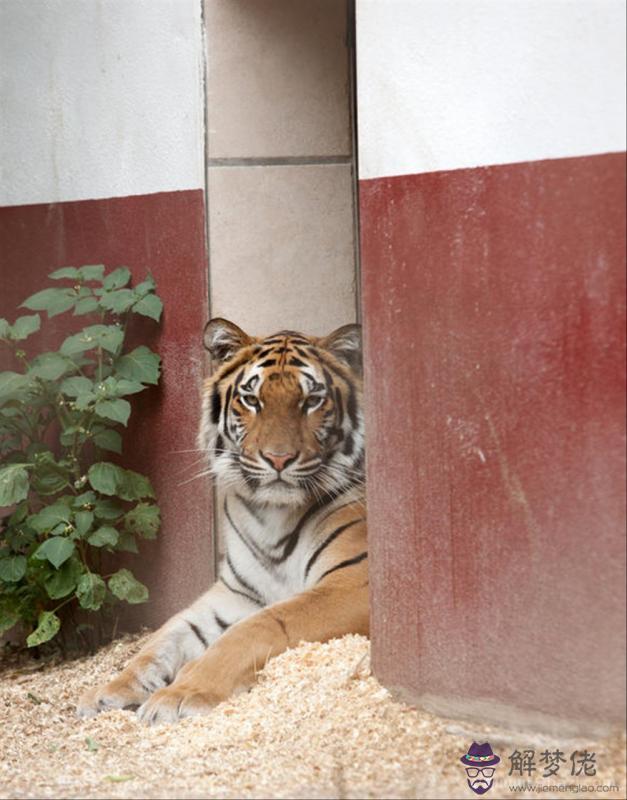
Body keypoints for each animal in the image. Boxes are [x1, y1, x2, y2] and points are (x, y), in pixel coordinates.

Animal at [77, 318, 368, 724]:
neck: (273, 515)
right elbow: (164, 638)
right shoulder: (237, 592)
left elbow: (256, 627)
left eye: (312, 400)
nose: (279, 459)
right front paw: (108, 691)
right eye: (252, 399)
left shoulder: (352, 582)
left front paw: (180, 694)